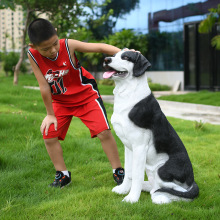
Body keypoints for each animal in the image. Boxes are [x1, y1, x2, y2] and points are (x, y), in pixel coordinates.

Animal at [103, 50, 199, 204]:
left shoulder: (139, 146)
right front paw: (124, 189)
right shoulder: (128, 147)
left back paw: (160, 197)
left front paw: (131, 198)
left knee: (180, 191)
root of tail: (192, 180)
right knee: (155, 186)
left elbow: (136, 175)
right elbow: (129, 172)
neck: (128, 92)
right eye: (114, 55)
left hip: (163, 169)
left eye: (126, 57)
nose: (106, 59)